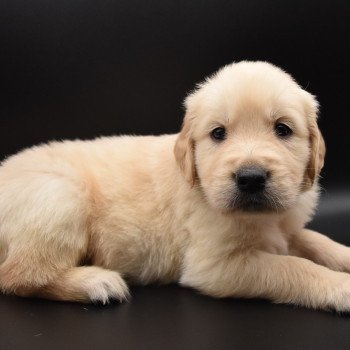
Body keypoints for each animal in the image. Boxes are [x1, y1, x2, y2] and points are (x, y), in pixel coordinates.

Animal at [0, 60, 350, 312]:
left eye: (283, 129)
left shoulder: (286, 227)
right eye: (218, 133)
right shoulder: (215, 266)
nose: (250, 178)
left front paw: (342, 256)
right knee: (20, 274)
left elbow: (316, 240)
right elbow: (293, 266)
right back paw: (96, 283)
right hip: (61, 195)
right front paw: (342, 287)